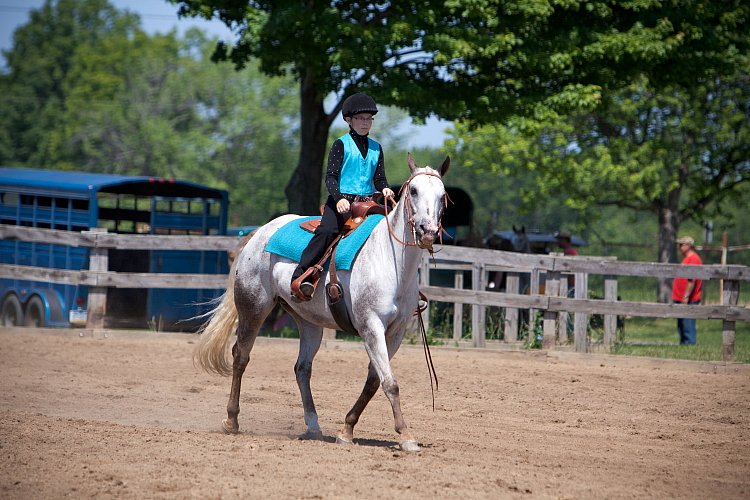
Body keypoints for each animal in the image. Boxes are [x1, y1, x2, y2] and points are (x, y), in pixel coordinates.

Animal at [195, 153, 452, 454]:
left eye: (442, 196)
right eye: (413, 191)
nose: (427, 231)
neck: (391, 260)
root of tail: (259, 233)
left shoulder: (396, 332)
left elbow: (374, 381)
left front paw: (347, 429)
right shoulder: (371, 326)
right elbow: (390, 382)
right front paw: (406, 435)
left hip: (309, 322)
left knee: (302, 368)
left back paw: (313, 426)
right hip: (253, 307)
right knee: (240, 356)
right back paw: (232, 420)